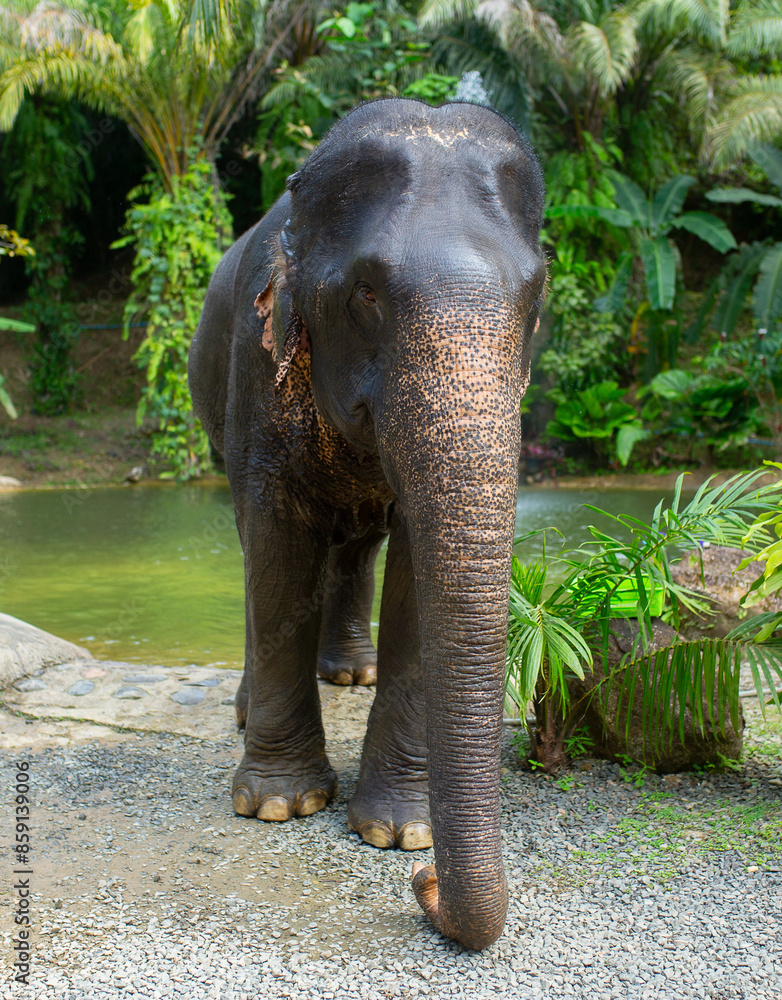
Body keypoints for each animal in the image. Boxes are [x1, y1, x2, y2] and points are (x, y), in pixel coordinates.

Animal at [188, 97, 546, 950]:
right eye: (367, 294)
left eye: (534, 300)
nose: (427, 887)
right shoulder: (257, 371)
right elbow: (276, 542)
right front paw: (279, 806)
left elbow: (417, 561)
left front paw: (400, 833)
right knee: (257, 544)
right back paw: (255, 710)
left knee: (357, 545)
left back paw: (352, 674)